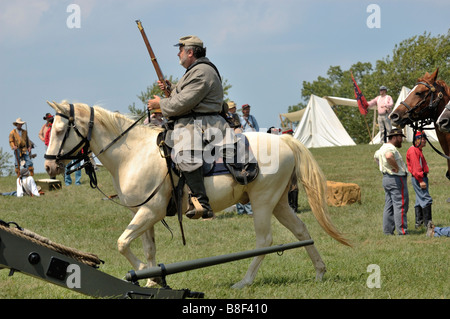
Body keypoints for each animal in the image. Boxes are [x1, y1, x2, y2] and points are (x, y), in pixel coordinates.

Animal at [44, 101, 350, 288]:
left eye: (59, 130)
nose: (48, 166)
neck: (132, 153)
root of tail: (284, 139)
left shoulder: (150, 211)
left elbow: (122, 243)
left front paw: (143, 272)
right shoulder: (144, 214)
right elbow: (147, 248)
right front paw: (152, 279)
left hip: (263, 202)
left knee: (265, 241)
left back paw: (244, 282)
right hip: (279, 203)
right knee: (301, 231)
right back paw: (320, 272)